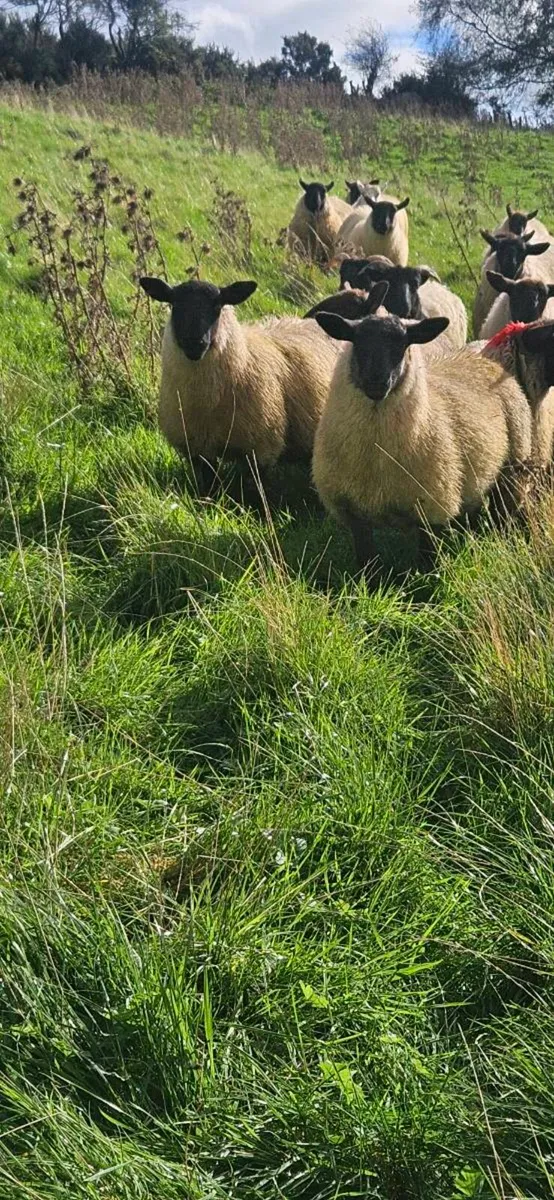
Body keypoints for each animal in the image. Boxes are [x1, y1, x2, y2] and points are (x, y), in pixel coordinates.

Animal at [139, 275, 343, 494]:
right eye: (174, 304)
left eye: (217, 305)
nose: (195, 343)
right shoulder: (198, 448)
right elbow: (209, 484)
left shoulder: (261, 448)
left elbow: (254, 489)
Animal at [311, 304, 532, 580]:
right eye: (356, 341)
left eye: (403, 344)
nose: (376, 382)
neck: (377, 454)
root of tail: (485, 360)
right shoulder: (353, 511)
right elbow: (367, 561)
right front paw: (370, 582)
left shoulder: (431, 507)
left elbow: (427, 558)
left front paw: (427, 580)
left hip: (513, 467)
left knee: (509, 511)